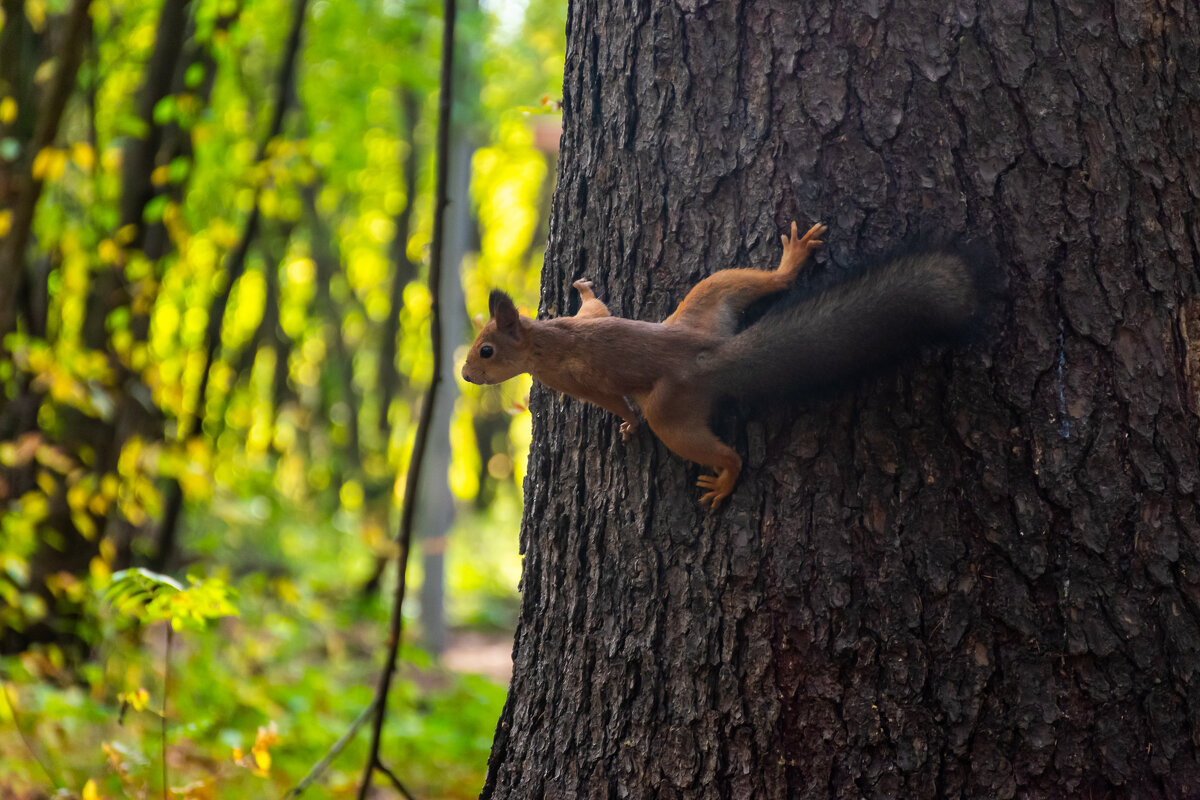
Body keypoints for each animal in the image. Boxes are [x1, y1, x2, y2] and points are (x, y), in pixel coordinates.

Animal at [458, 220, 984, 506]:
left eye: (486, 351)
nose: (465, 374)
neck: (544, 338)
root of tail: (707, 354)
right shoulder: (584, 321)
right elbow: (597, 307)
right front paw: (586, 287)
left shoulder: (575, 379)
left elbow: (614, 401)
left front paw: (627, 425)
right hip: (710, 298)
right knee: (765, 282)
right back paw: (791, 262)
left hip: (672, 413)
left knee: (719, 450)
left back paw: (725, 478)